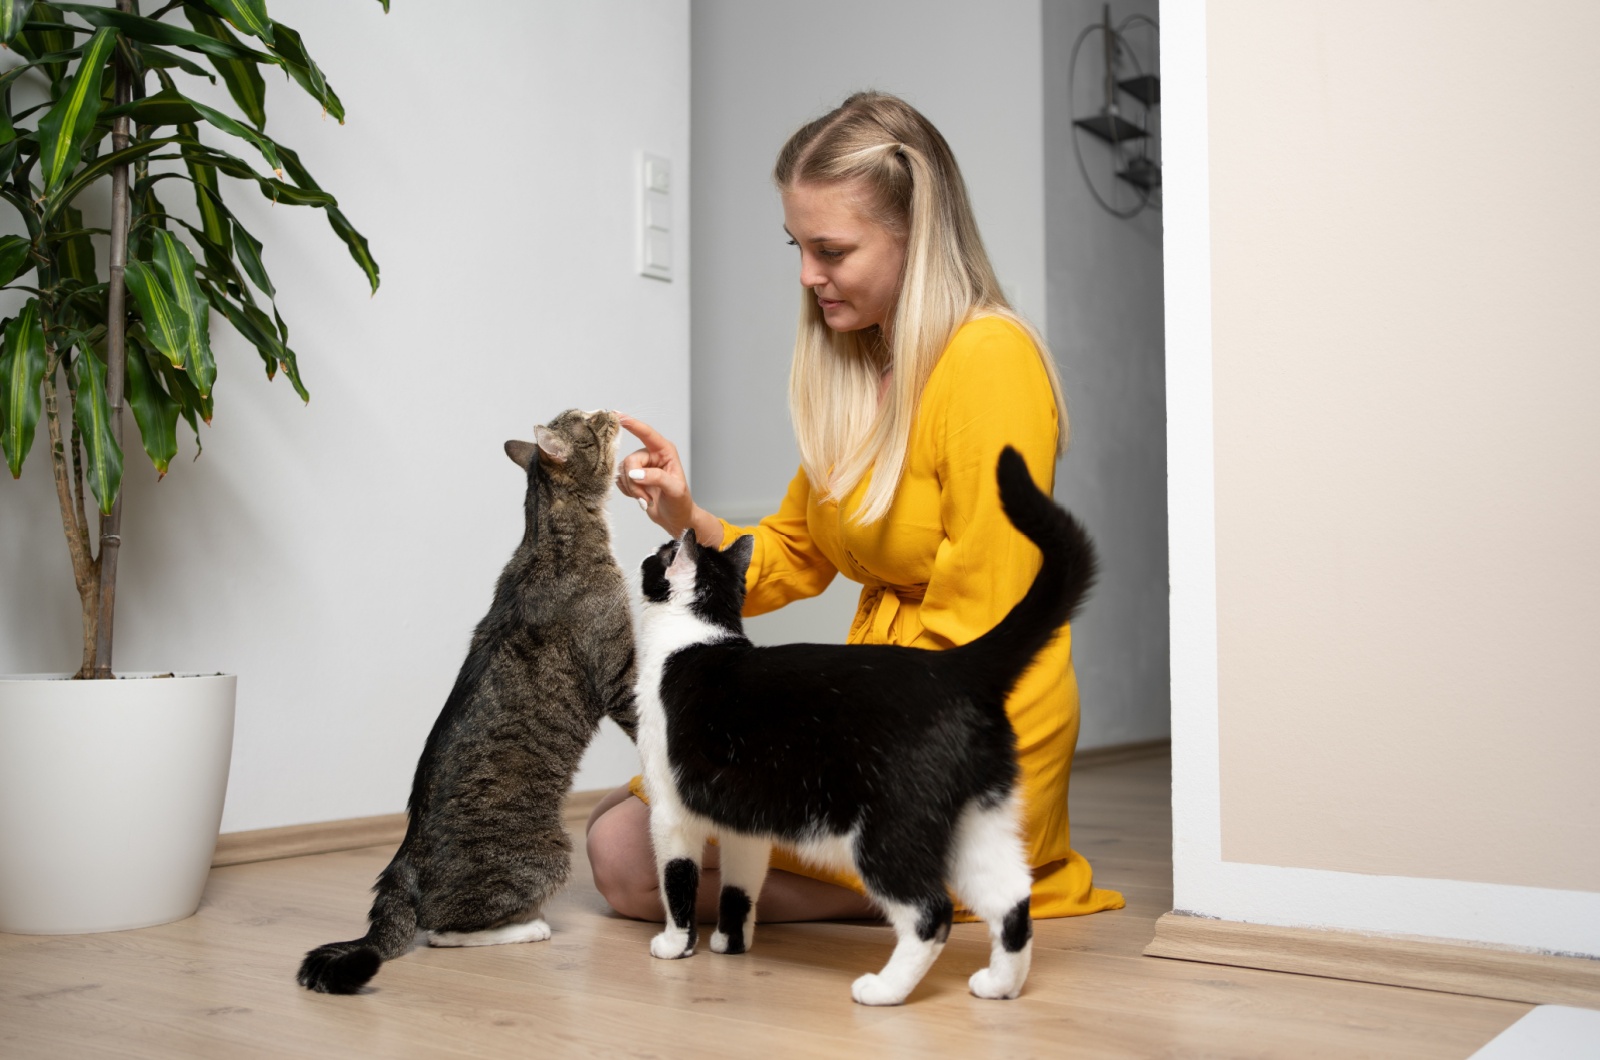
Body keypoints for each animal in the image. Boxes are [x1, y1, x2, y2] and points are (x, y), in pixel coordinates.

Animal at [297, 408, 633, 999]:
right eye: (590, 423)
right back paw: (530, 927)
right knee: (443, 931)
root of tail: (402, 865)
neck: (551, 531)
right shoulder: (617, 671)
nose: (612, 410)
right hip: (548, 853)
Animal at [630, 445, 1094, 1011]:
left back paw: (884, 990)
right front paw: (730, 944)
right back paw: (997, 986)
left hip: (885, 832)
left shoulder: (670, 810)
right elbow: (740, 888)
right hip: (976, 822)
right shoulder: (747, 820)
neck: (693, 637)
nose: (653, 548)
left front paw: (676, 945)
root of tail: (956, 667)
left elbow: (678, 880)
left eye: (661, 552)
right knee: (1011, 899)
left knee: (931, 912)